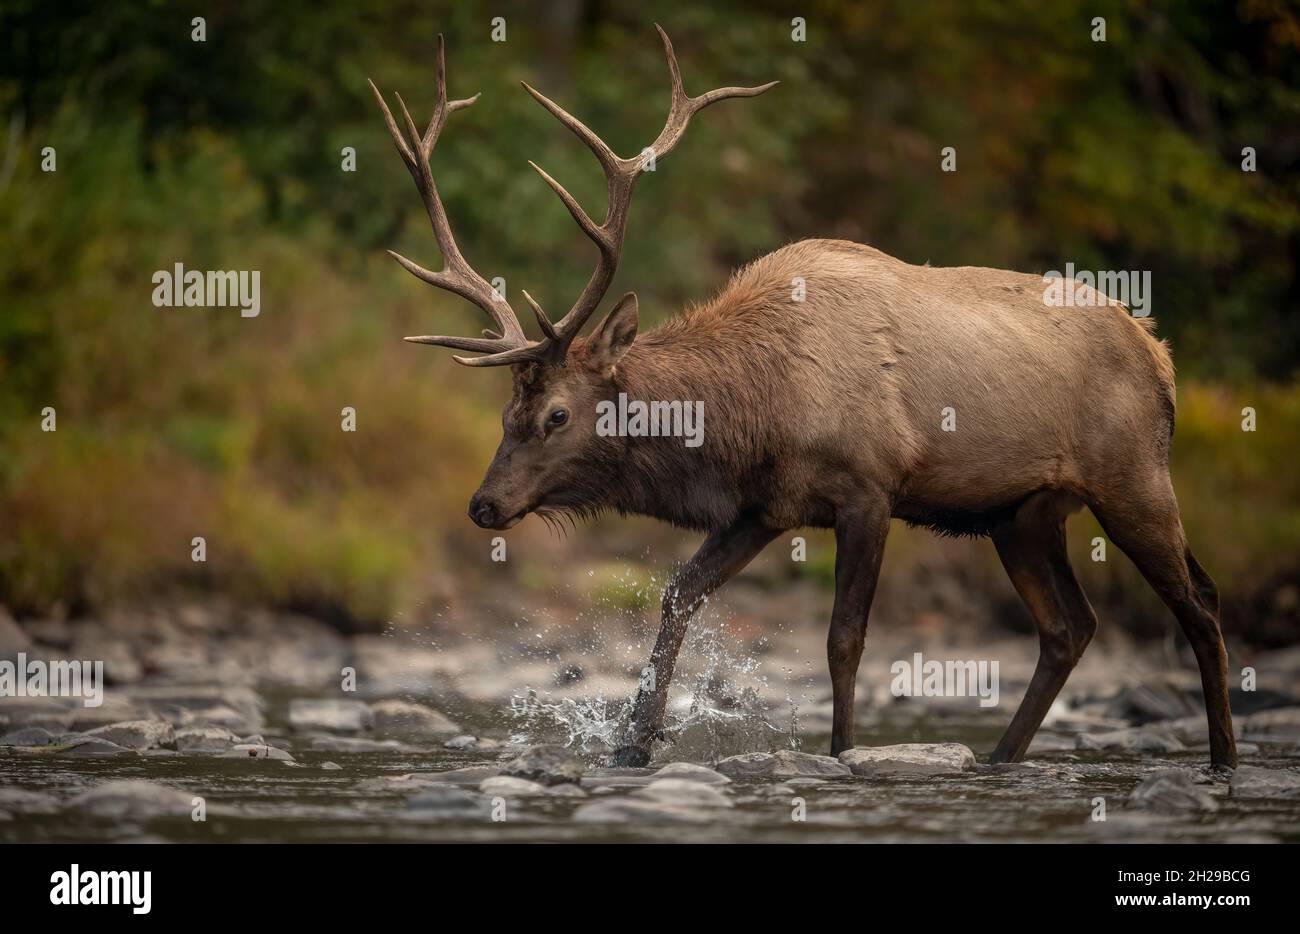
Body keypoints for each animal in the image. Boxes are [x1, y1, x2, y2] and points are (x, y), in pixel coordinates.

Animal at [369, 27, 1237, 771]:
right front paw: (632, 744)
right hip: (1021, 512)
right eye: (504, 414)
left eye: (556, 415)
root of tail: (1161, 356)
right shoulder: (765, 505)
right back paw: (1000, 757)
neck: (755, 411)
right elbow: (678, 597)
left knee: (1198, 600)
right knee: (1069, 627)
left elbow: (843, 639)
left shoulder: (868, 489)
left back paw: (1223, 757)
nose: (484, 504)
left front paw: (842, 753)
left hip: (1132, 478)